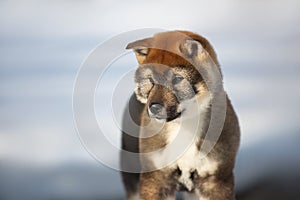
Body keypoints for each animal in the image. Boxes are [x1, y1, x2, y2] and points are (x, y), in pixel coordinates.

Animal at [119, 30, 239, 199]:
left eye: (177, 79)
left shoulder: (217, 179)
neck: (184, 127)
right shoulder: (156, 178)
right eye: (151, 80)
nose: (154, 107)